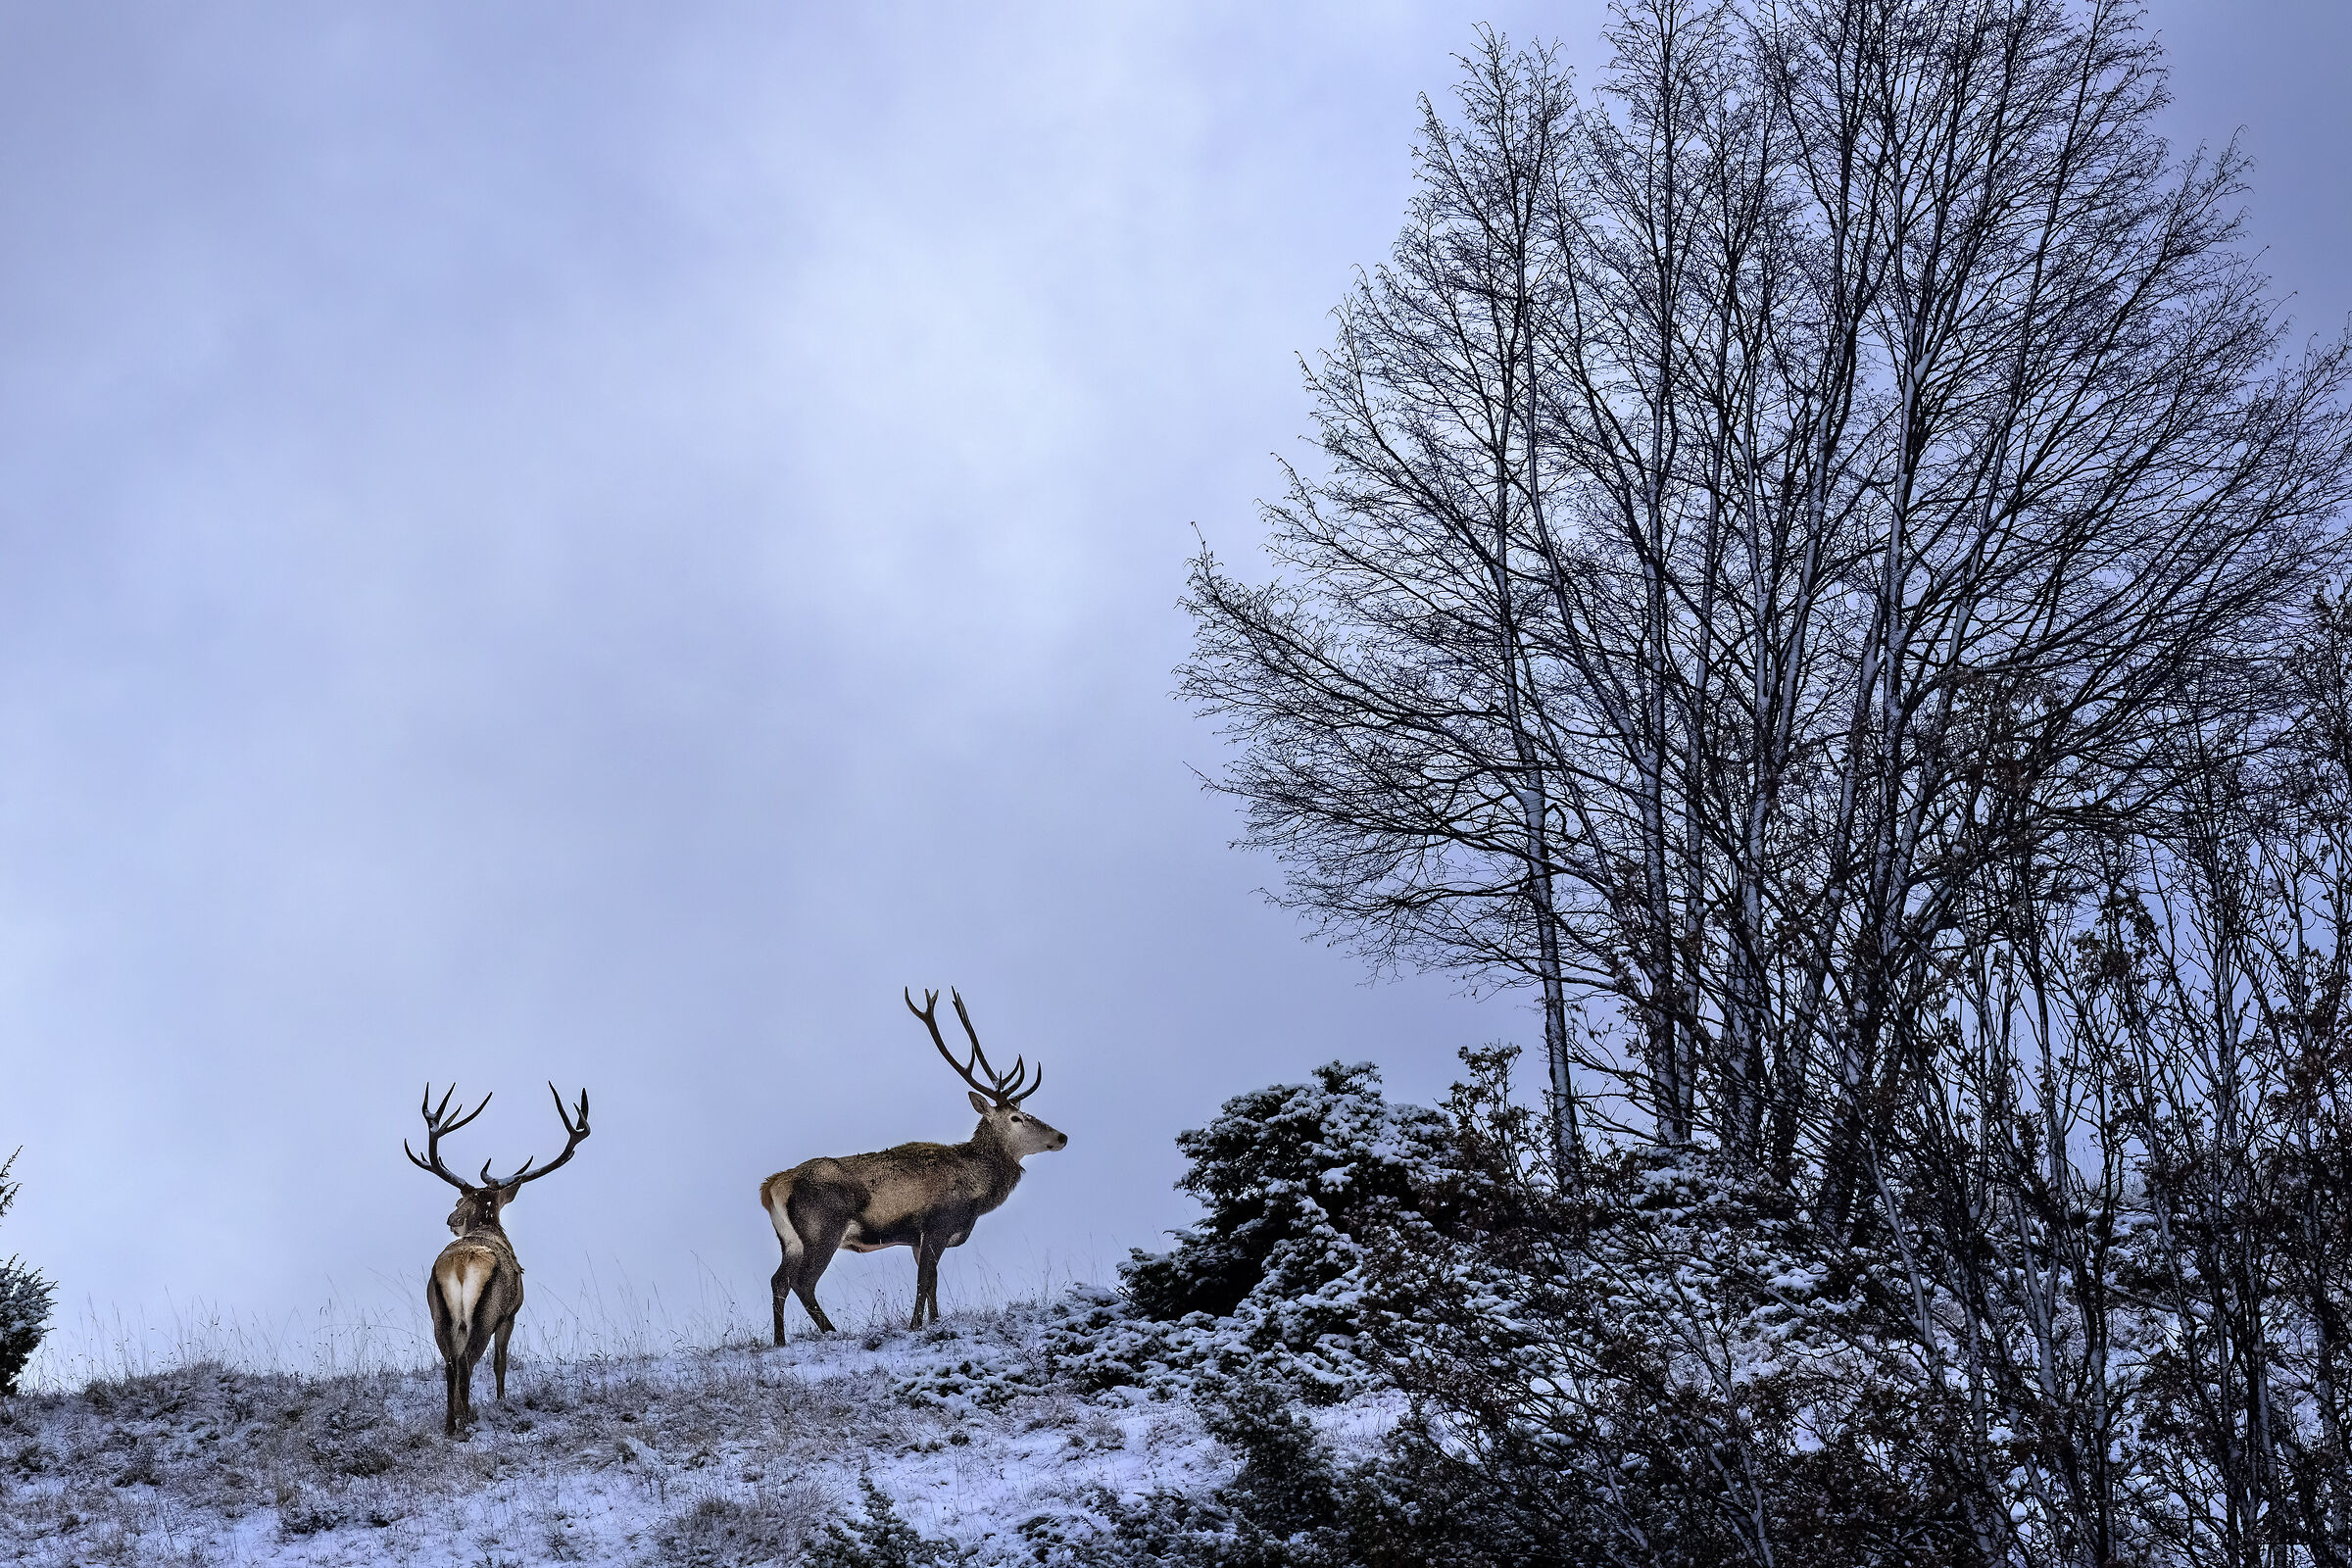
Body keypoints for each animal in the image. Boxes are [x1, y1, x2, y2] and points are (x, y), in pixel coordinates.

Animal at [405, 1081, 591, 1435]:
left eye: (459, 1200)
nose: (450, 1219)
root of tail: (460, 1266)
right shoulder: (511, 1313)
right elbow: (500, 1362)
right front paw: (502, 1400)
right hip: (485, 1314)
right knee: (467, 1361)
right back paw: (466, 1421)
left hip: (439, 1314)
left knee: (449, 1363)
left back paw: (451, 1425)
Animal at [760, 988, 1067, 1344]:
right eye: (1017, 1118)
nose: (1061, 1136)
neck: (977, 1195)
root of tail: (771, 1187)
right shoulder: (935, 1225)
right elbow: (924, 1281)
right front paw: (915, 1326)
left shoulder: (919, 1239)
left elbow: (932, 1283)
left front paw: (934, 1320)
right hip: (822, 1229)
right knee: (803, 1282)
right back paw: (832, 1332)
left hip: (790, 1240)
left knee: (778, 1280)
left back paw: (779, 1341)